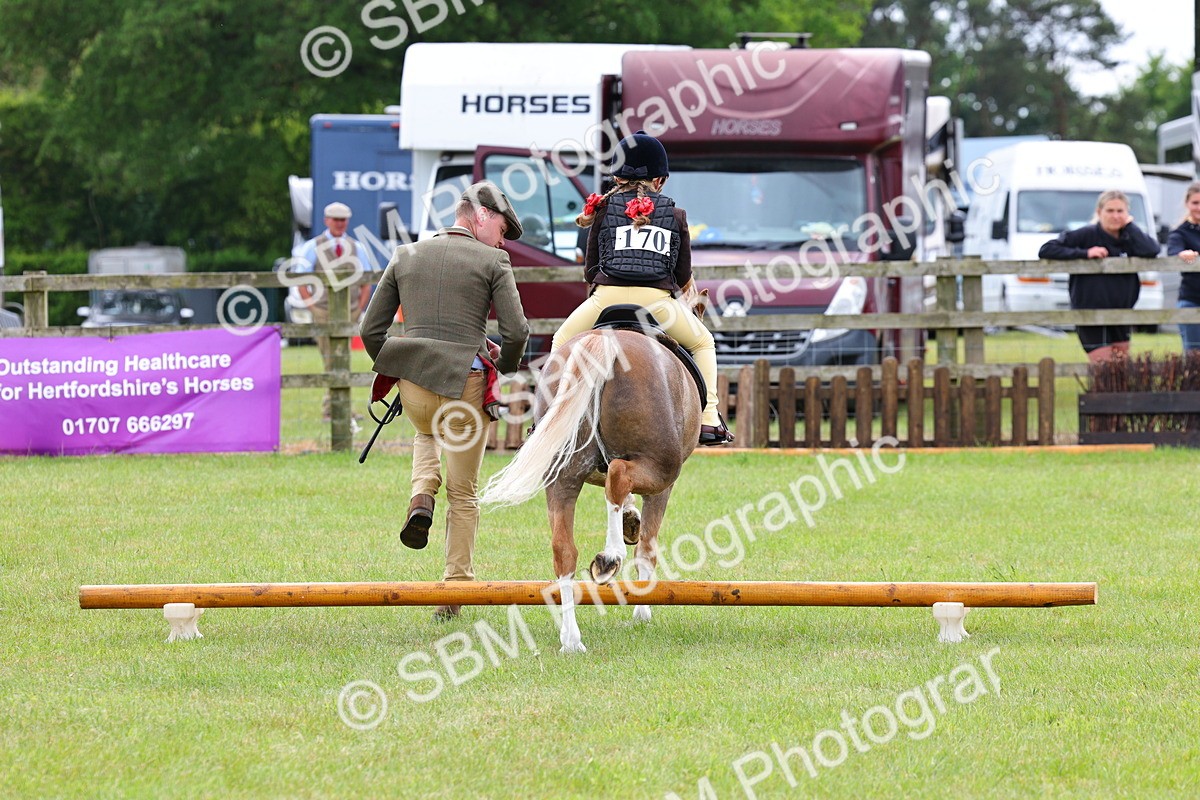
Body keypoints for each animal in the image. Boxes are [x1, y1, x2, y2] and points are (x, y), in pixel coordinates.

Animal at [479, 284, 708, 653]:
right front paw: (642, 612)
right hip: (661, 467)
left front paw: (630, 519)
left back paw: (571, 638)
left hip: (562, 476)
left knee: (564, 552)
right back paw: (609, 558)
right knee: (619, 476)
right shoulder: (662, 486)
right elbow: (647, 549)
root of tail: (603, 342)